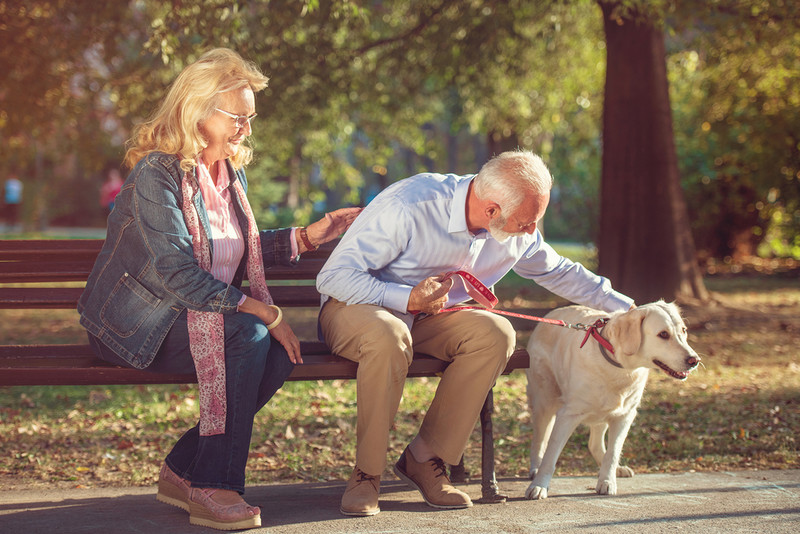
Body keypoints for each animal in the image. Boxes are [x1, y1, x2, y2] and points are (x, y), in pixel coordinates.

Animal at [520, 302, 696, 502]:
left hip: (603, 412)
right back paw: (535, 468)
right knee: (539, 440)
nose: (694, 360)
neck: (620, 368)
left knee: (595, 444)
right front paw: (539, 486)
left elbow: (612, 453)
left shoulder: (624, 416)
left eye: (683, 330)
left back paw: (616, 469)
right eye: (663, 334)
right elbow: (551, 454)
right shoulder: (568, 415)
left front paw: (607, 481)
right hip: (545, 400)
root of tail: (550, 315)